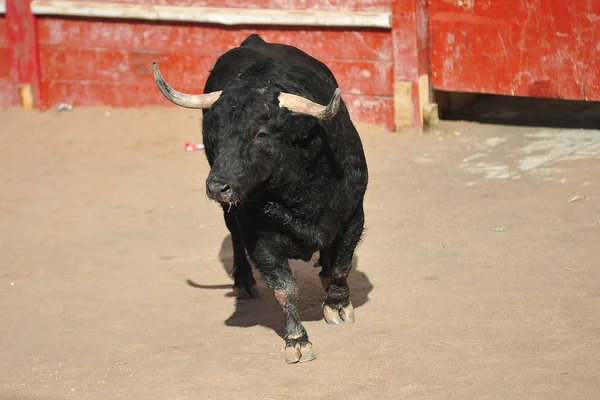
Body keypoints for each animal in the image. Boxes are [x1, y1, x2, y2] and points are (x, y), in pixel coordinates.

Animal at [152, 34, 368, 364]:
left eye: (262, 133)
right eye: (213, 133)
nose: (217, 187)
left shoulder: (354, 214)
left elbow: (342, 264)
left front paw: (338, 306)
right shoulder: (257, 235)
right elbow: (284, 288)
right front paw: (297, 340)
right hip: (232, 215)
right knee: (233, 235)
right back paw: (243, 281)